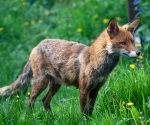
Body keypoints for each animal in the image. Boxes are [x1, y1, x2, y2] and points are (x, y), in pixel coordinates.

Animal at [0, 17, 141, 115]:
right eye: (123, 43)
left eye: (133, 42)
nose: (138, 52)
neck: (98, 63)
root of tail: (37, 45)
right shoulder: (84, 89)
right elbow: (83, 111)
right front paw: (84, 121)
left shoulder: (95, 90)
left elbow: (90, 110)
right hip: (41, 83)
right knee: (30, 100)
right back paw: (32, 117)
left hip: (55, 85)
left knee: (44, 101)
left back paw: (51, 118)